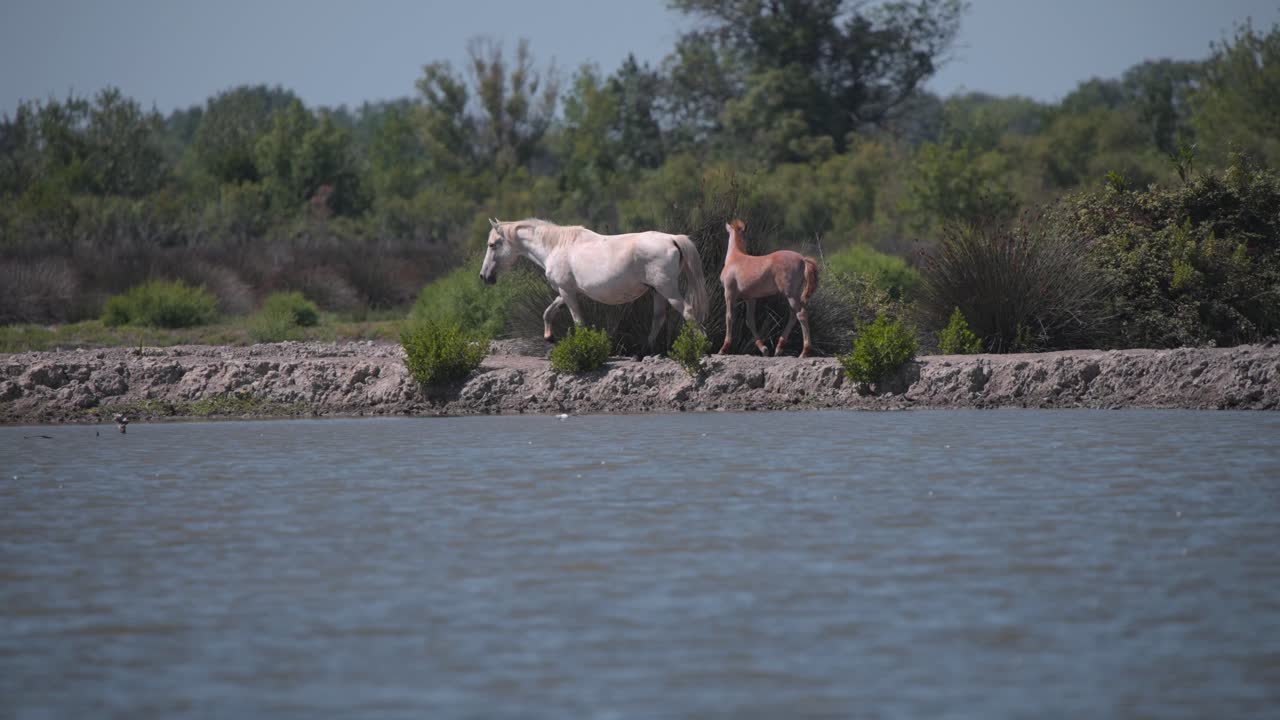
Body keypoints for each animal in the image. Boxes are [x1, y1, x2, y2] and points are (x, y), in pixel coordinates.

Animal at [479, 218, 709, 352]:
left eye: (492, 245)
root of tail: (672, 239)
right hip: (658, 292)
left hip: (667, 290)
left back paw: (702, 345)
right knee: (658, 319)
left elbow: (579, 322)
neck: (556, 246)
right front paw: (549, 336)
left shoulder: (567, 292)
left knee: (688, 311)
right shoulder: (566, 292)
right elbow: (548, 312)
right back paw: (647, 351)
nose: (484, 276)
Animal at [718, 219, 819, 358]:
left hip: (791, 295)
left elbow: (729, 317)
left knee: (801, 315)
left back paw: (804, 352)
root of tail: (803, 259)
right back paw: (779, 348)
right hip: (795, 295)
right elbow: (750, 321)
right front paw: (764, 349)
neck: (735, 258)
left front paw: (723, 348)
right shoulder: (750, 298)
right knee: (793, 316)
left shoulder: (729, 293)